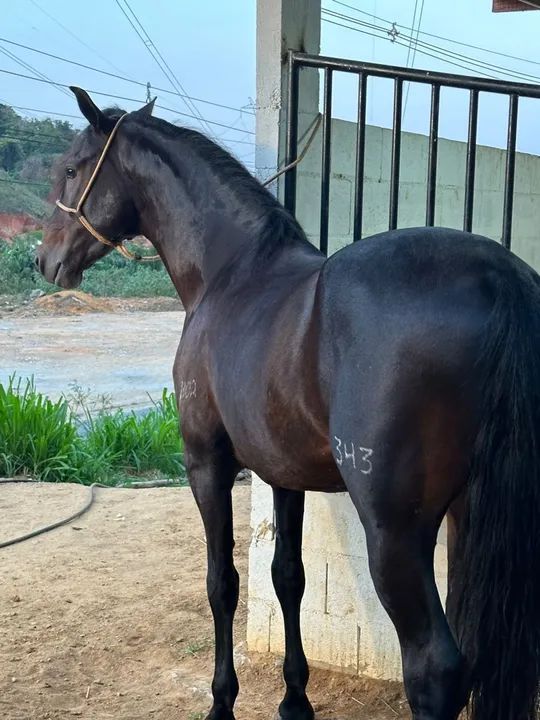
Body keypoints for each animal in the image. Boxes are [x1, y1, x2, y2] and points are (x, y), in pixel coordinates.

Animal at [36, 87, 540, 720]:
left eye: (71, 168)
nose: (44, 260)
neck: (230, 274)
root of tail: (498, 275)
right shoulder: (283, 473)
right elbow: (287, 578)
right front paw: (295, 699)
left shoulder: (207, 465)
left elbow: (222, 583)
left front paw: (222, 702)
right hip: (472, 516)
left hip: (396, 533)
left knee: (435, 669)